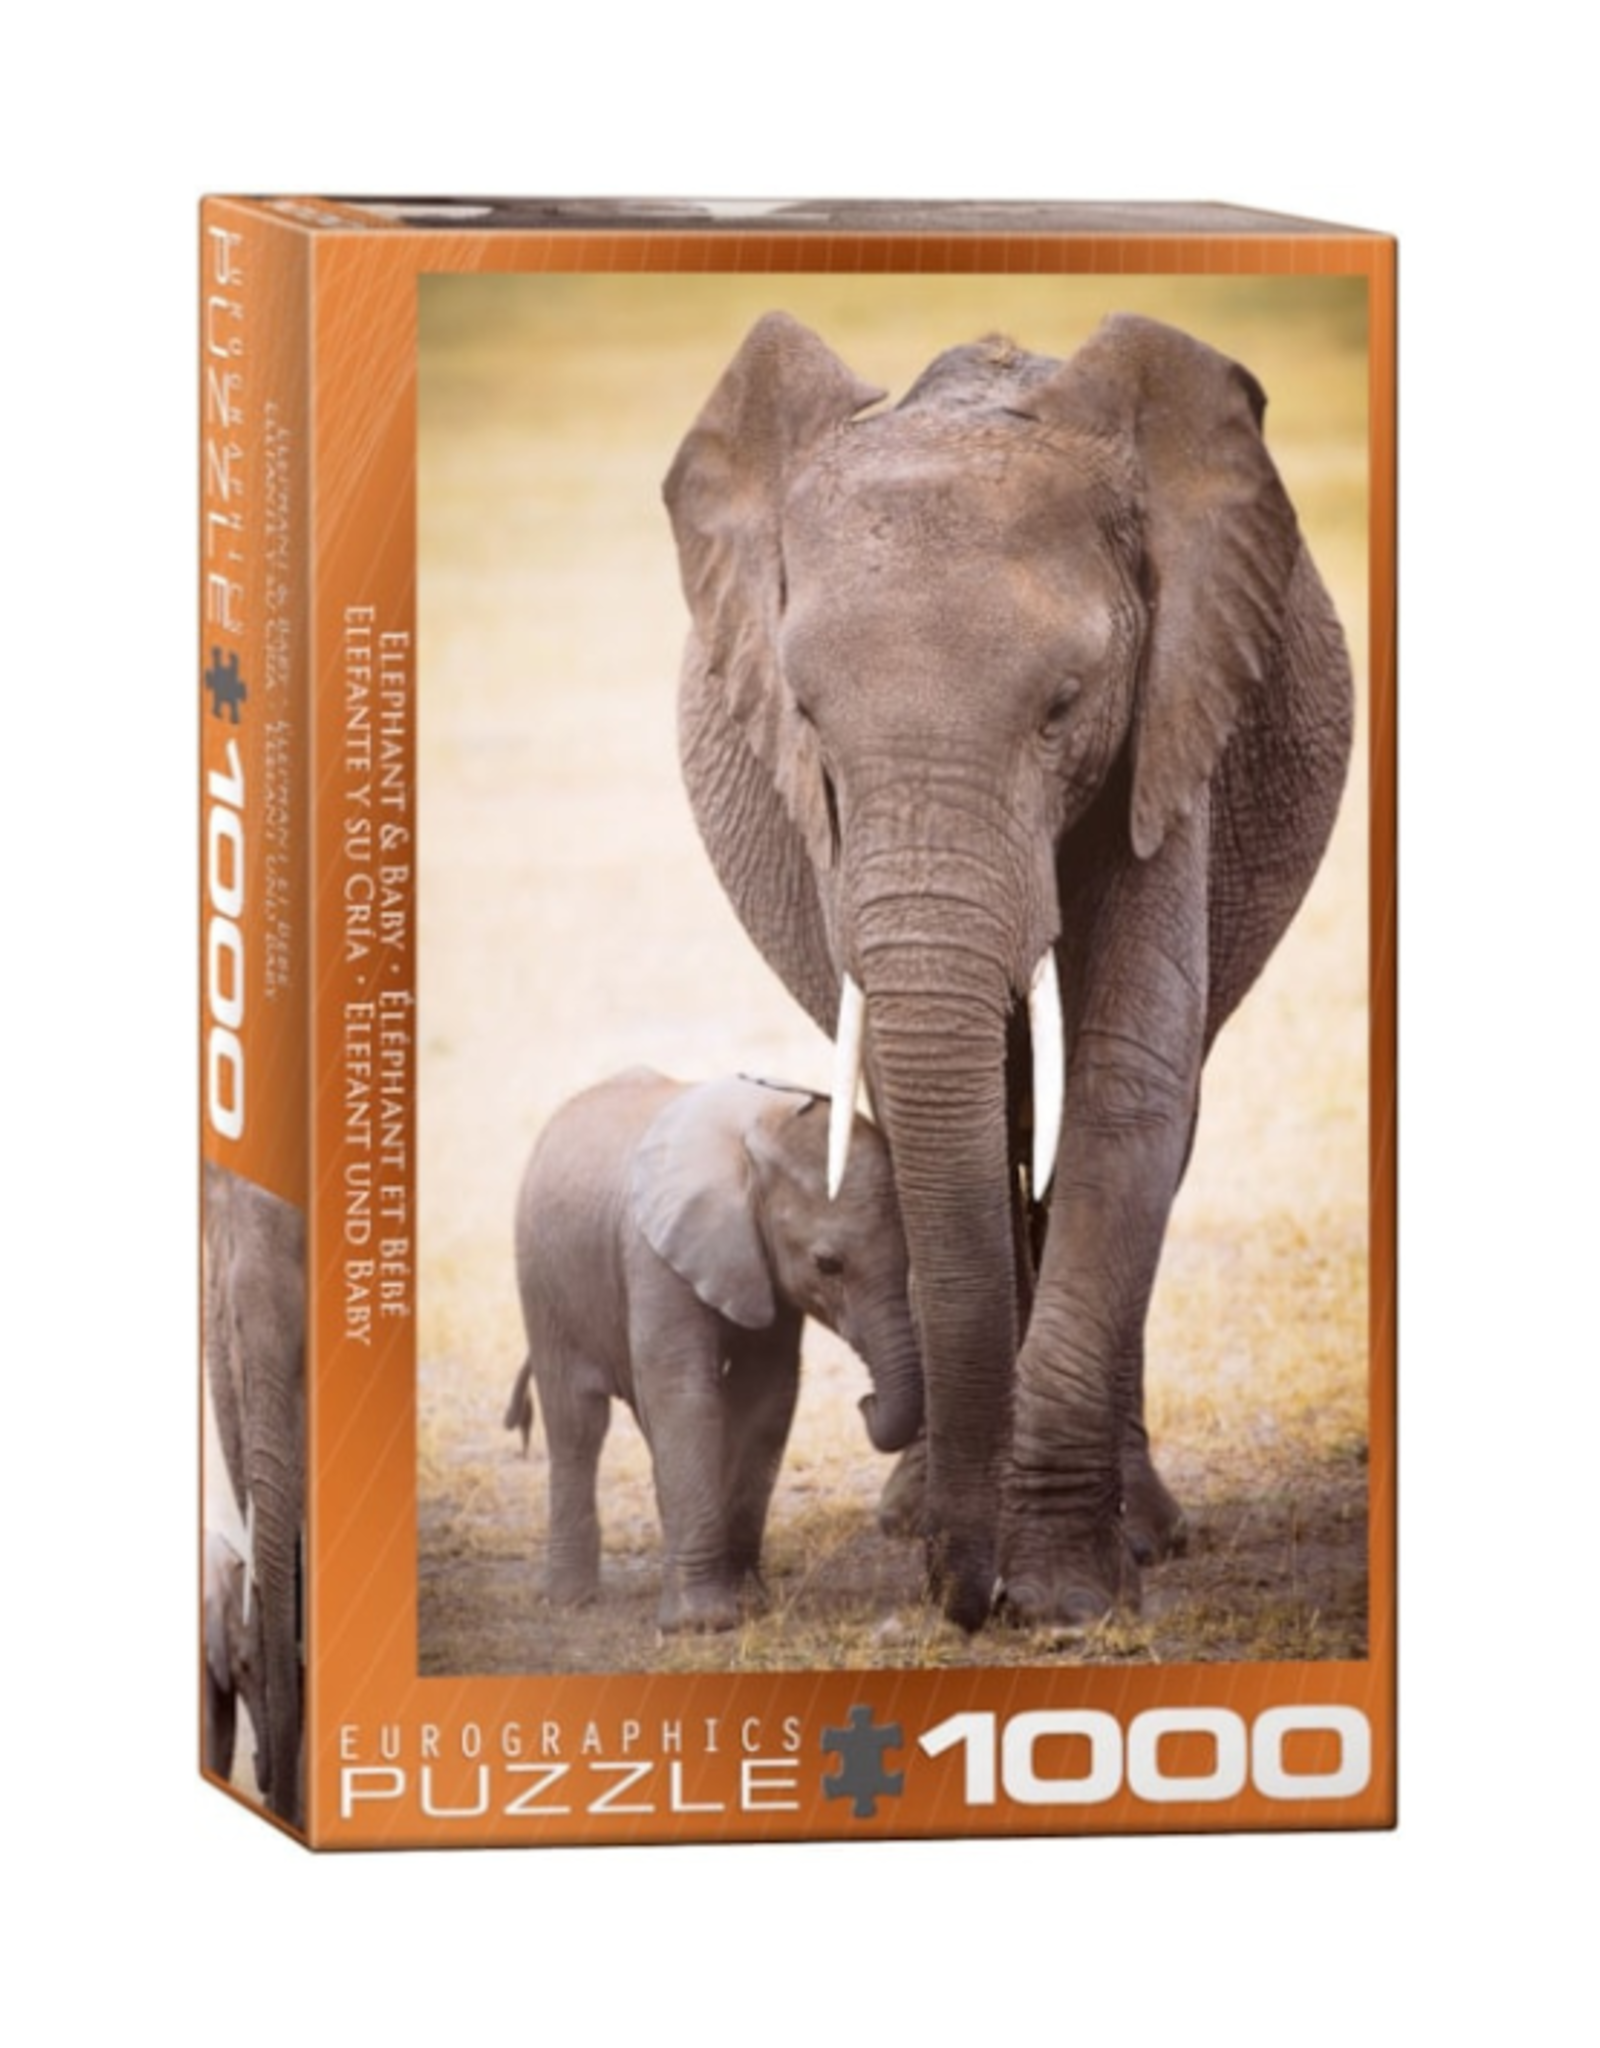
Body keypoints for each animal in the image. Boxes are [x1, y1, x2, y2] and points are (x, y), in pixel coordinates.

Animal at [505, 1068, 923, 1632]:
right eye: (827, 1265)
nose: (867, 1401)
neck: (757, 1133)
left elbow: (767, 1395)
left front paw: (747, 1601)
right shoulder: (654, 1253)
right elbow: (684, 1393)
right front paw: (701, 1624)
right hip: (542, 1281)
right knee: (577, 1423)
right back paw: (569, 1599)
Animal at [665, 311, 1353, 1632]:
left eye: (1063, 706)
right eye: (807, 719)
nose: (960, 1594)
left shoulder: (1173, 714)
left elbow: (1126, 1082)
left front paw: (1066, 1593)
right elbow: (936, 1093)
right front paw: (980, 1552)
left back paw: (1143, 1529)